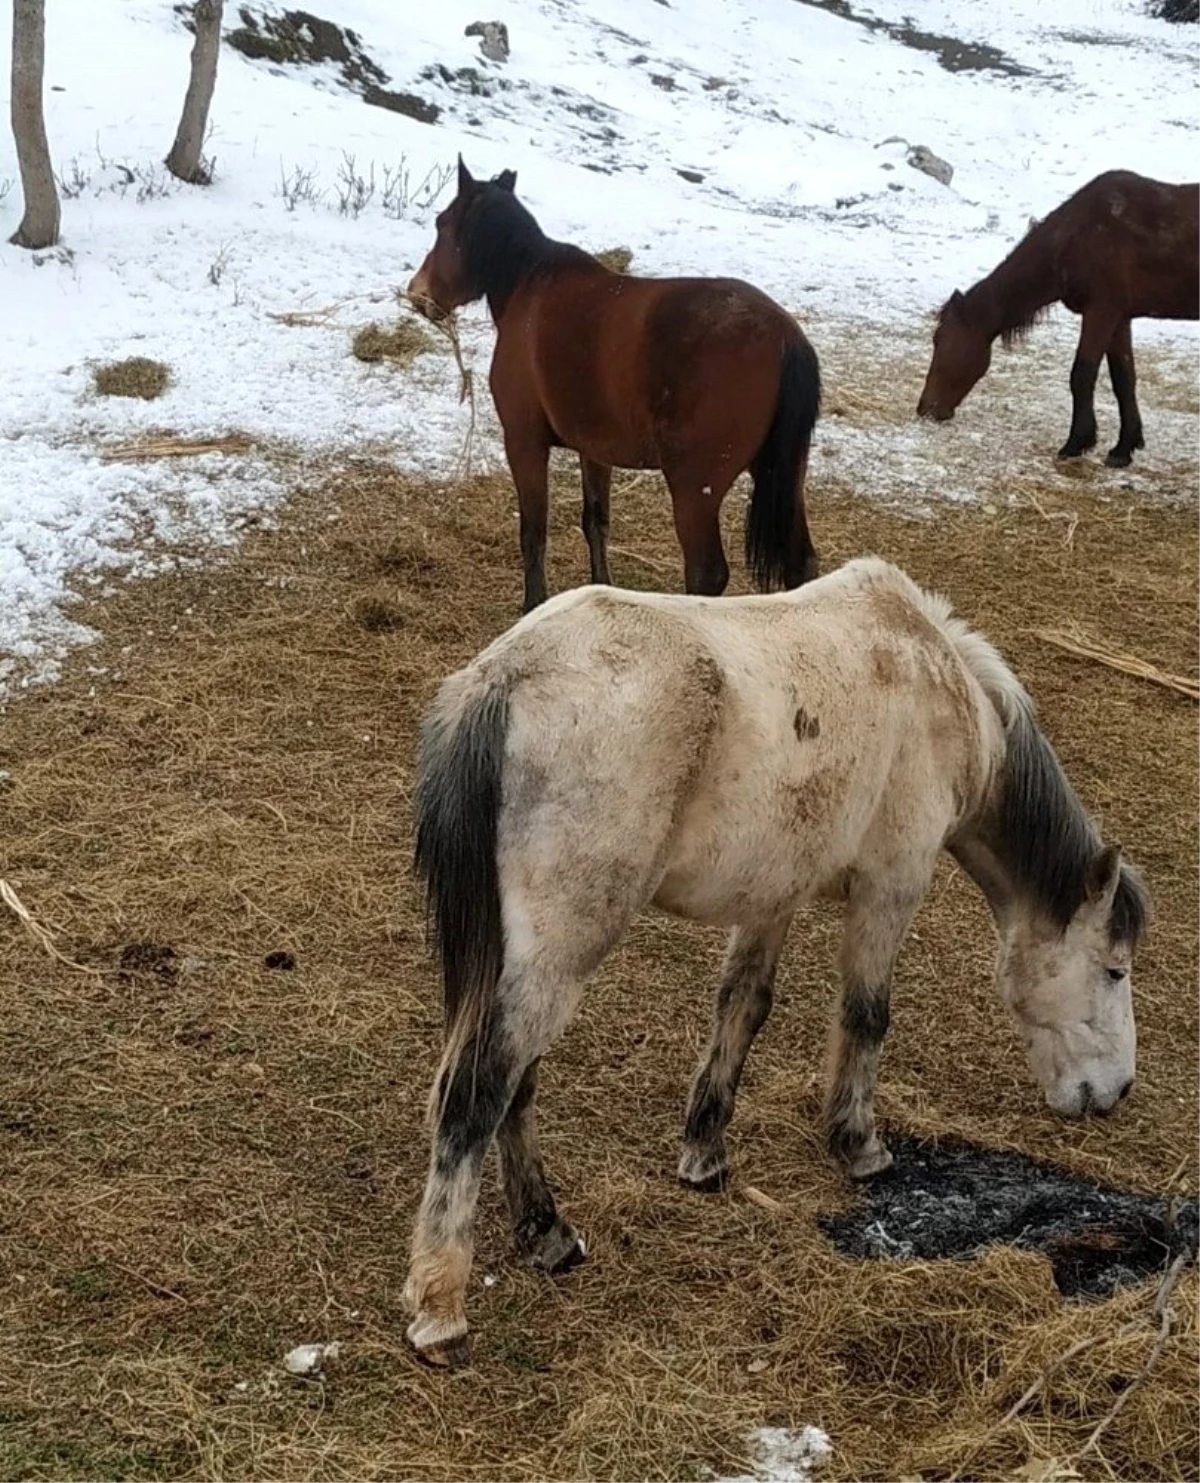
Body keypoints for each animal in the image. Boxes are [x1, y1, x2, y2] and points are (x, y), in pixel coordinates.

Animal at [403, 557, 1145, 1364]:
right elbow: (866, 1015)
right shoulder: (891, 886)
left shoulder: (774, 893)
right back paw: (440, 1310)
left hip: (533, 953)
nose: (1117, 1091)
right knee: (478, 1089)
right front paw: (859, 1146)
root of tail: (502, 678)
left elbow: (742, 1007)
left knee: (517, 1083)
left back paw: (549, 1235)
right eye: (1114, 969)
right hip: (563, 948)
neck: (938, 686)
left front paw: (704, 1153)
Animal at [406, 163, 818, 619]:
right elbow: (596, 522)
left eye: (442, 223)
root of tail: (784, 337)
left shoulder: (523, 442)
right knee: (802, 566)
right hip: (784, 476)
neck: (528, 285)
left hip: (696, 491)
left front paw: (533, 604)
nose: (418, 294)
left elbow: (533, 532)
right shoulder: (594, 450)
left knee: (707, 574)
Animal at [919, 170, 1198, 465]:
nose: (925, 407)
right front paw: (1123, 449)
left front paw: (1076, 442)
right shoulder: (1120, 318)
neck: (1078, 235)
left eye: (941, 340)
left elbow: (1082, 375)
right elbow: (1124, 379)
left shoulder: (1101, 312)